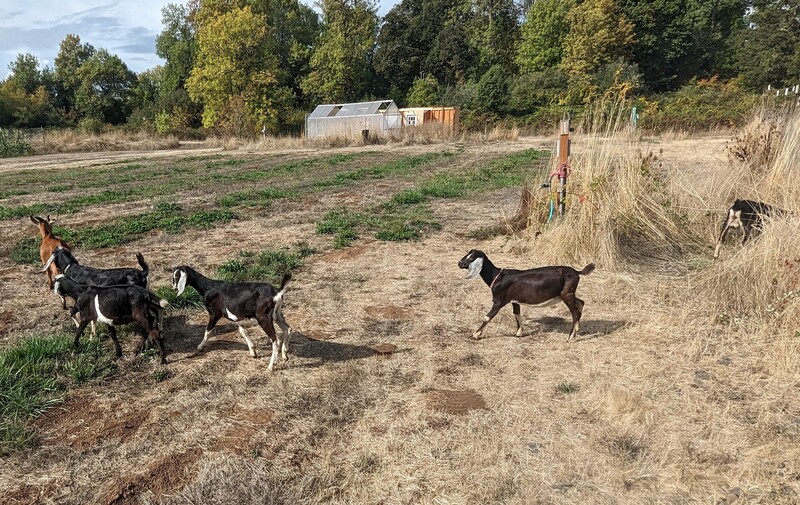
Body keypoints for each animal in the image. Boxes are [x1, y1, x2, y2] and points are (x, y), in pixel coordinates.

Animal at [456, 249, 592, 340]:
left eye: (471, 257)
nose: (459, 263)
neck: (497, 276)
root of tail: (577, 272)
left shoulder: (499, 301)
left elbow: (487, 317)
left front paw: (475, 334)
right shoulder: (514, 300)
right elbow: (517, 313)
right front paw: (519, 333)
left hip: (566, 294)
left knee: (574, 312)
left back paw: (570, 337)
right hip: (569, 293)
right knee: (580, 302)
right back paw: (577, 329)